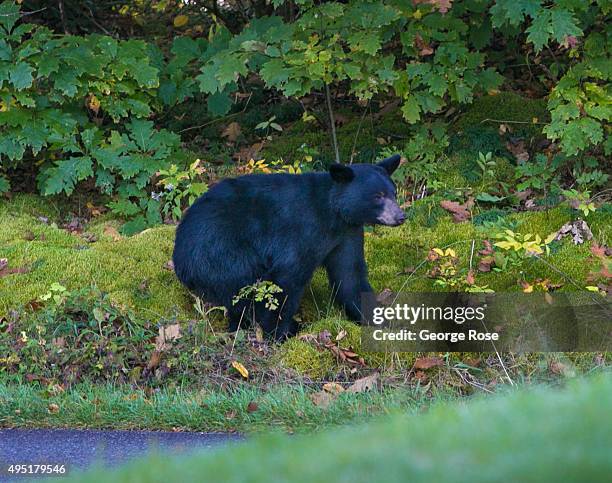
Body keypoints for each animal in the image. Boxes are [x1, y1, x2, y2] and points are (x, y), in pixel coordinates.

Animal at [172, 155, 404, 340]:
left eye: (394, 192)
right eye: (377, 196)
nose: (401, 216)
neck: (333, 213)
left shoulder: (347, 234)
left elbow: (350, 275)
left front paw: (380, 319)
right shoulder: (301, 231)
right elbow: (287, 277)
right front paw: (278, 332)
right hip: (220, 254)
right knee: (241, 287)